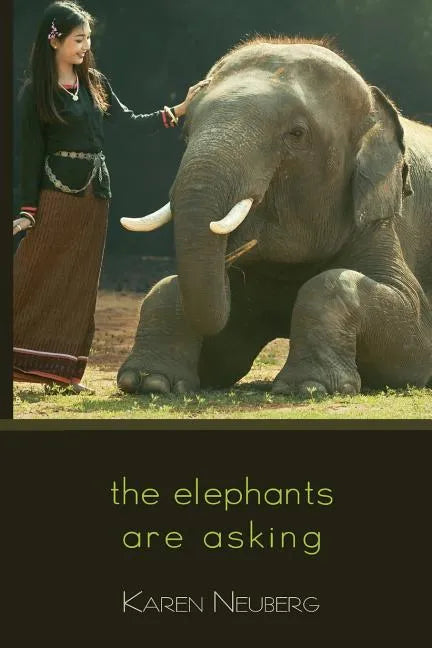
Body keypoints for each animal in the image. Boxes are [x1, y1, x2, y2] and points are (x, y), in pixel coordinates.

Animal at [117, 36, 432, 398]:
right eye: (187, 131)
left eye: (296, 133)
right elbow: (219, 349)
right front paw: (149, 382)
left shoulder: (381, 221)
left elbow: (414, 342)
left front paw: (307, 387)